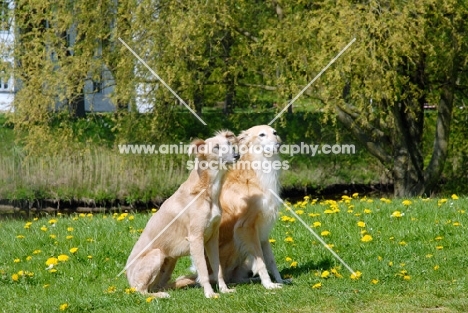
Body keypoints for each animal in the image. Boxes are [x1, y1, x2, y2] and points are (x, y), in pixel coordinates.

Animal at [124, 130, 238, 298]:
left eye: (229, 143)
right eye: (216, 147)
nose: (237, 155)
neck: (205, 191)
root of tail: (128, 279)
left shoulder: (212, 237)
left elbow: (218, 269)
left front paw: (224, 289)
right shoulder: (196, 238)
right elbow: (203, 270)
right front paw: (209, 293)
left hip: (170, 260)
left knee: (156, 287)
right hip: (156, 255)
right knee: (142, 291)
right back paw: (161, 296)